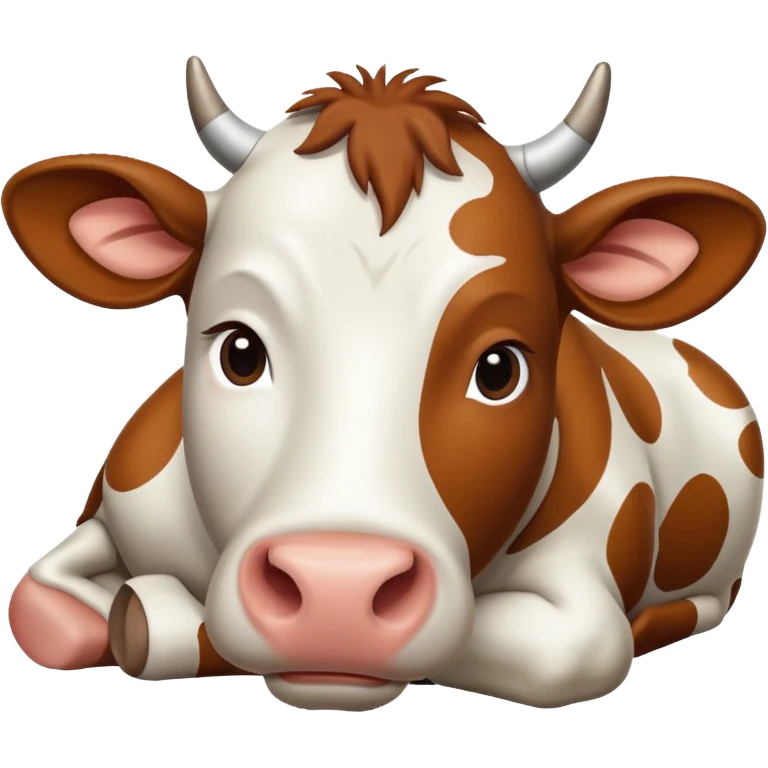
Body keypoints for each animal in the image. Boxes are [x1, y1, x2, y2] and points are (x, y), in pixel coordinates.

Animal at [3, 57, 765, 713]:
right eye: (240, 352)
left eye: (500, 368)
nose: (336, 588)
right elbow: (39, 600)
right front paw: (131, 611)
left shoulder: (575, 608)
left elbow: (545, 649)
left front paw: (149, 615)